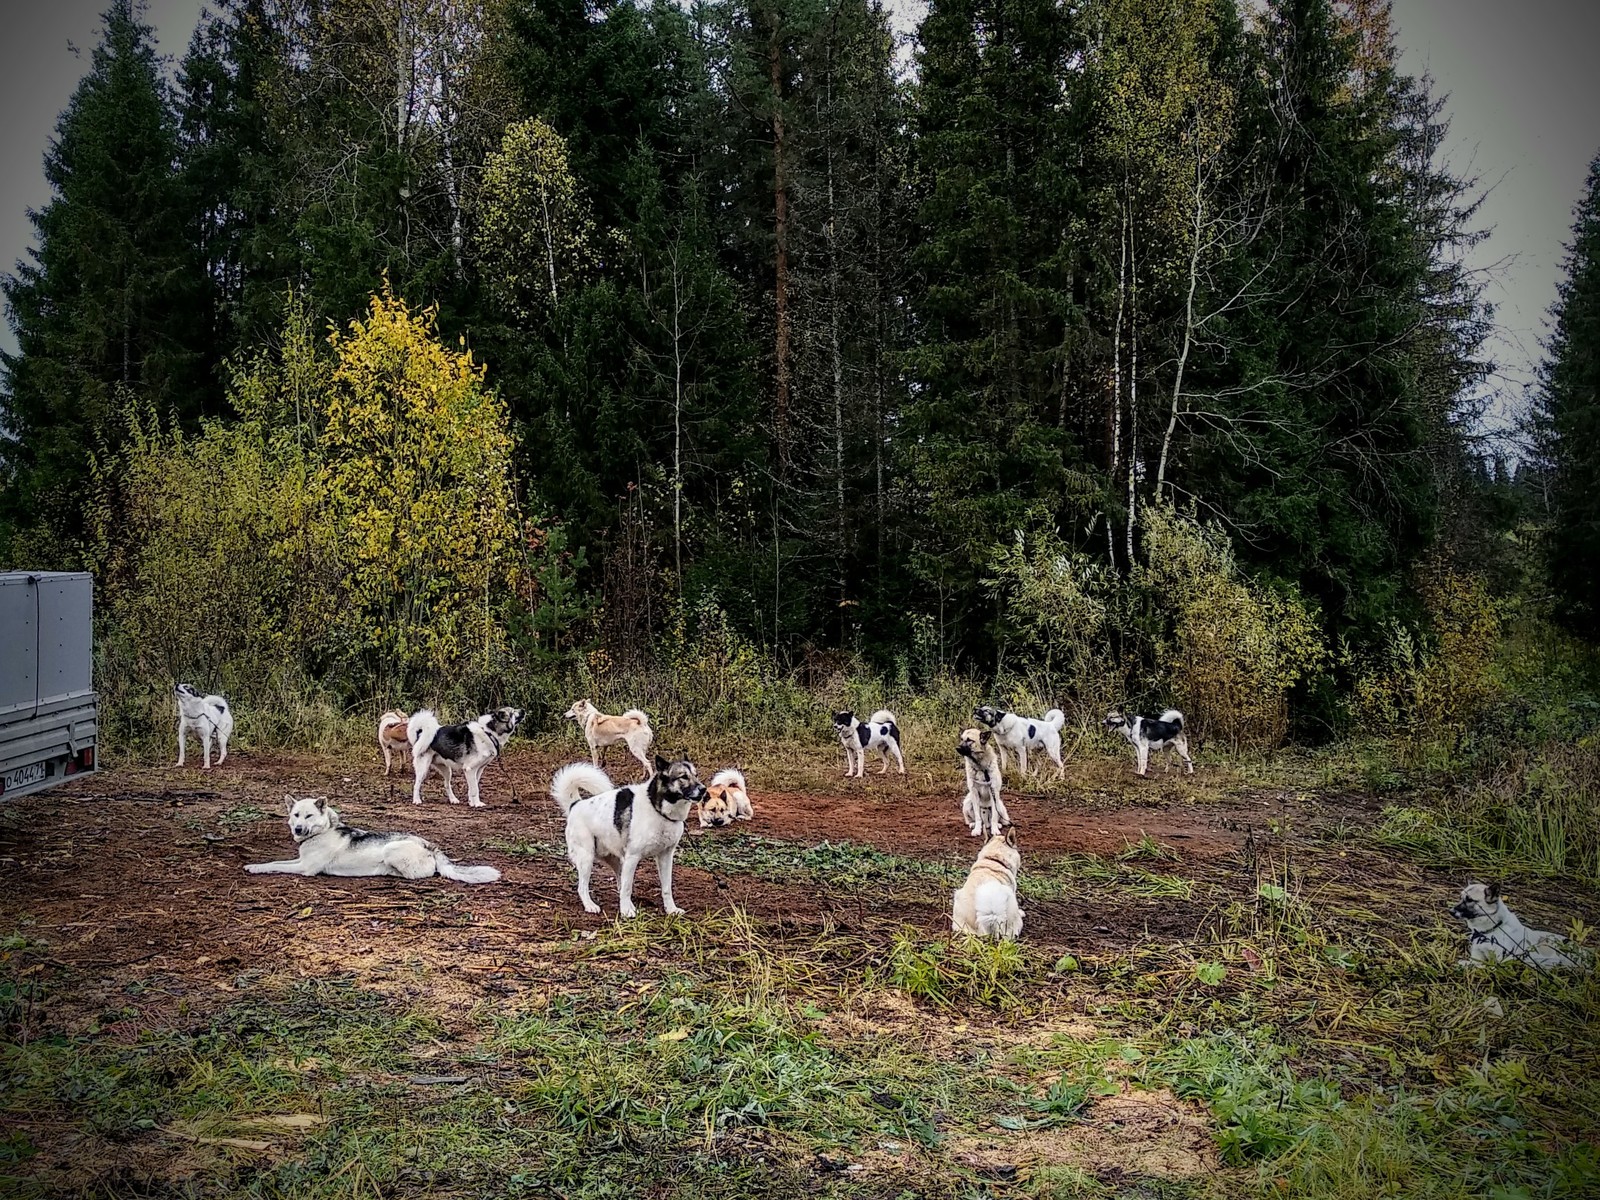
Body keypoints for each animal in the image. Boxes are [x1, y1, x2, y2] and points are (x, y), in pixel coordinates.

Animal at [243, 800, 499, 883]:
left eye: (309, 816)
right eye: (296, 815)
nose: (298, 828)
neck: (322, 832)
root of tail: (429, 844)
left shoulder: (305, 868)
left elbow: (276, 866)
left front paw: (256, 869)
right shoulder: (298, 861)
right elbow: (274, 862)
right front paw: (253, 865)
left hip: (391, 850)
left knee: (421, 875)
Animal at [547, 755, 704, 915]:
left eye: (696, 775)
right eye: (683, 777)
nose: (703, 789)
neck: (658, 809)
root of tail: (575, 805)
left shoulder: (665, 857)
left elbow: (666, 888)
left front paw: (671, 909)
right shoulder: (632, 857)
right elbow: (627, 887)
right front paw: (626, 911)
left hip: (615, 859)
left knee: (619, 882)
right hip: (587, 858)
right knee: (583, 887)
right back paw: (590, 905)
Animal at [1452, 883, 1587, 979]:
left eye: (1470, 900)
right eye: (1460, 897)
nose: (1451, 911)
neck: (1492, 931)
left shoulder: (1500, 964)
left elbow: (1484, 966)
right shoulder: (1477, 955)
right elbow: (1474, 963)